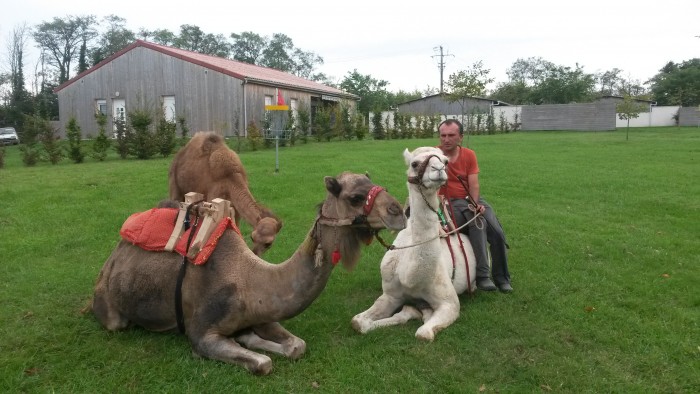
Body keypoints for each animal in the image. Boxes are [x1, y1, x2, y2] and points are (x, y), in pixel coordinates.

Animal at [89, 172, 404, 376]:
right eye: (355, 197)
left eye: (378, 184)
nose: (398, 211)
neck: (249, 280)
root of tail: (111, 258)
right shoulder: (201, 332)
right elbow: (262, 363)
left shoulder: (262, 313)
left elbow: (297, 346)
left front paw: (250, 339)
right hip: (110, 306)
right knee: (115, 321)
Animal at [352, 148, 478, 342]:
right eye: (414, 164)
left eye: (445, 161)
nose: (438, 169)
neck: (412, 277)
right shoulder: (391, 295)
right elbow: (357, 322)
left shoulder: (449, 303)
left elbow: (423, 333)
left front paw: (421, 312)